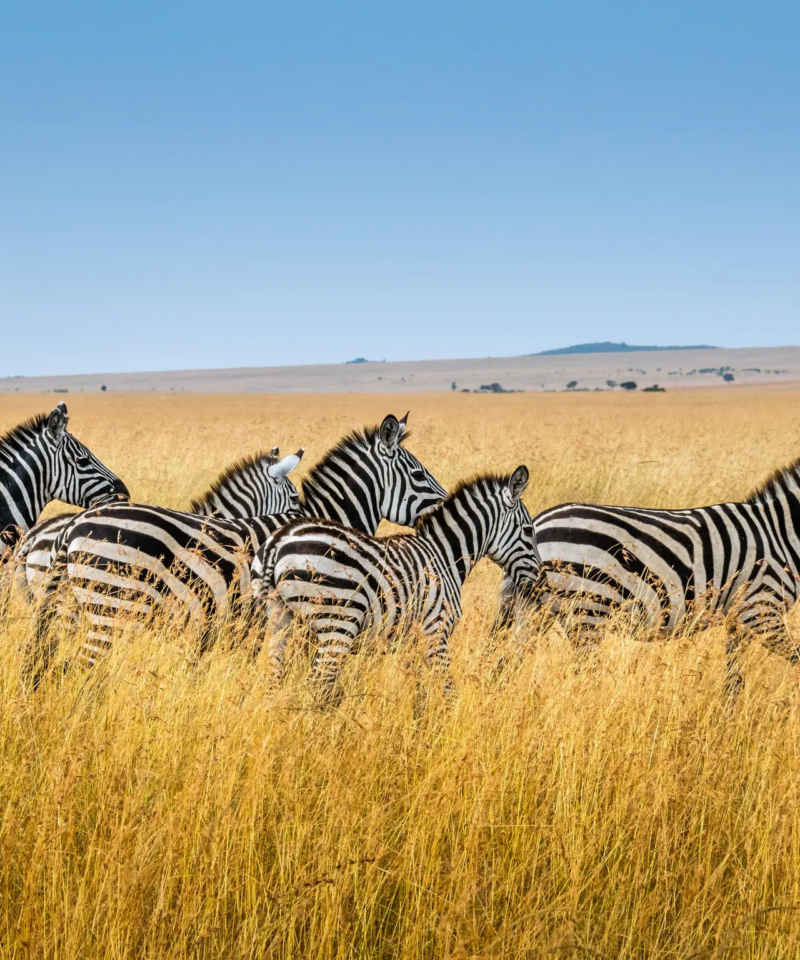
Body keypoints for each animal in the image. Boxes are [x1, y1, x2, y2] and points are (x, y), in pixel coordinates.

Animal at [250, 466, 537, 704]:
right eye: (528, 531)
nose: (537, 581)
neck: (444, 556)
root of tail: (278, 541)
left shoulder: (413, 640)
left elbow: (419, 690)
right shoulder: (436, 631)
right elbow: (446, 689)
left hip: (279, 619)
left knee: (274, 680)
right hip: (337, 624)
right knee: (317, 685)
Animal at [495, 453, 800, 691]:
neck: (780, 534)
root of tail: (538, 523)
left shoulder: (741, 618)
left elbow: (734, 679)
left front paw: (728, 719)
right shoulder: (761, 610)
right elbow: (795, 658)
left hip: (534, 610)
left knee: (508, 662)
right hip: (588, 611)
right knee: (583, 677)